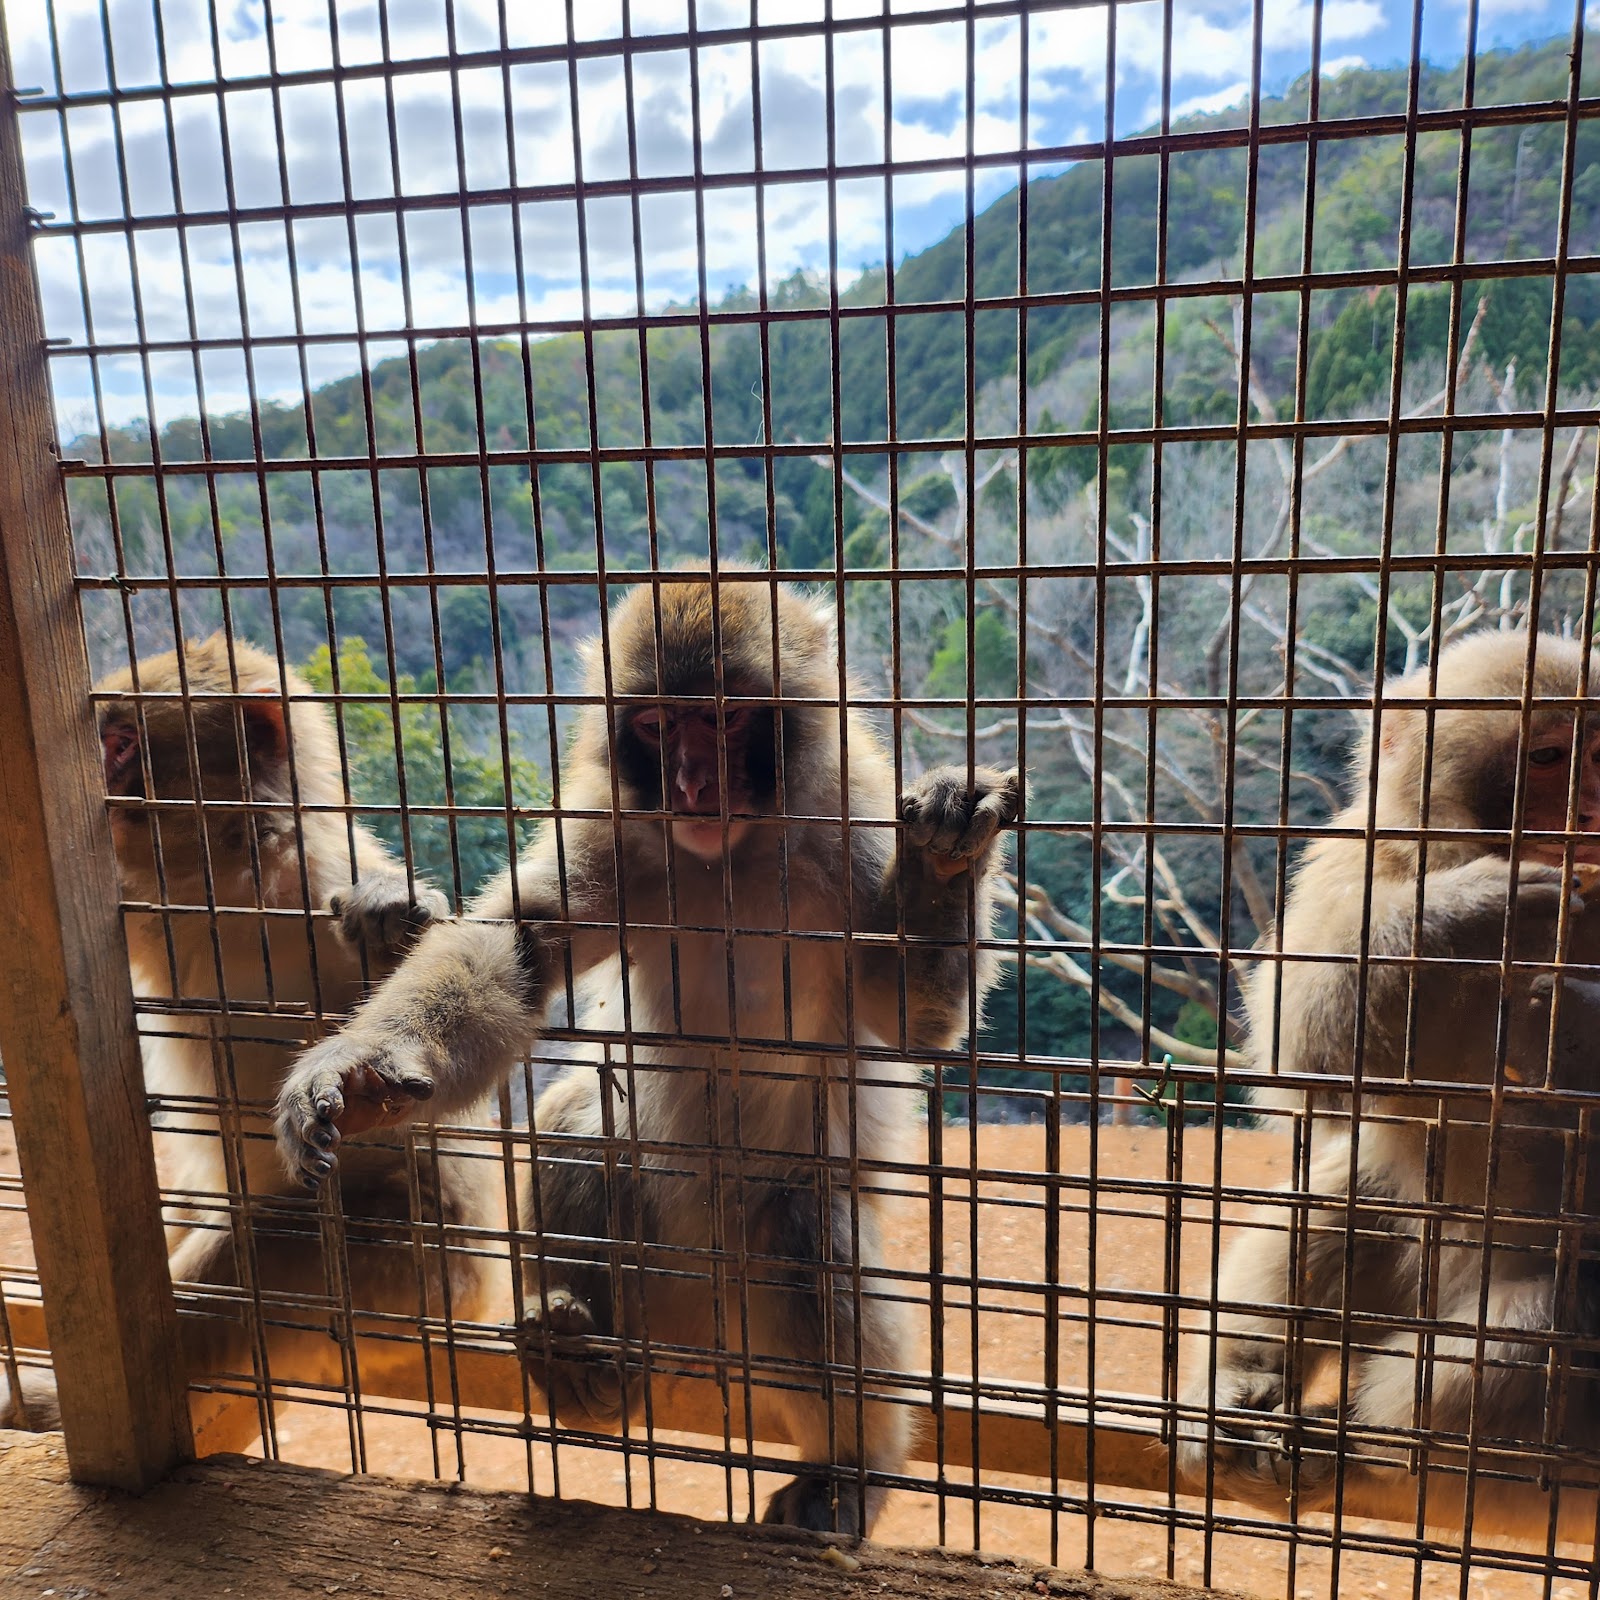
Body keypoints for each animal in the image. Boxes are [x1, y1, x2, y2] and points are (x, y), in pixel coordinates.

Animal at [0, 634, 505, 1432]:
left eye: (122, 745)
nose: (102, 788)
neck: (228, 868)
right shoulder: (135, 893)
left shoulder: (316, 876)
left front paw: (392, 919)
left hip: (405, 1264)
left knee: (246, 1273)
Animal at [275, 575, 1020, 1534]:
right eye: (661, 725)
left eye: (730, 719)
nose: (693, 787)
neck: (732, 856)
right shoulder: (615, 831)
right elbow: (521, 943)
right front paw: (362, 1071)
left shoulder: (852, 818)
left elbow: (907, 1017)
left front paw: (943, 861)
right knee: (580, 1130)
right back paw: (585, 1370)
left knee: (800, 1228)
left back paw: (849, 1472)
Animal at [1178, 628, 1600, 1537]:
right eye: (1550, 756)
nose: (1590, 808)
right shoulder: (1363, 851)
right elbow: (1302, 1054)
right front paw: (1470, 908)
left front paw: (1570, 1029)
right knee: (1349, 1193)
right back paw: (1234, 1385)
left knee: (1535, 1325)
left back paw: (1370, 1455)